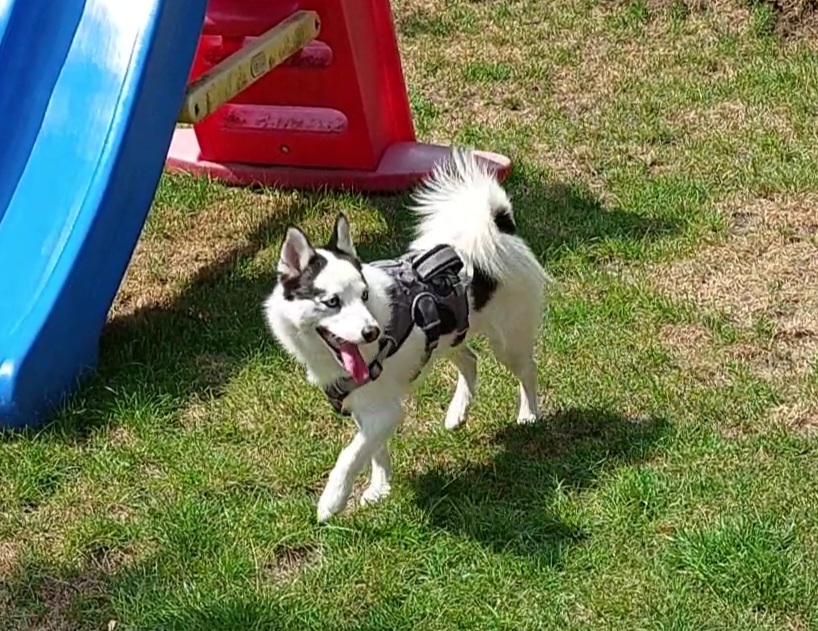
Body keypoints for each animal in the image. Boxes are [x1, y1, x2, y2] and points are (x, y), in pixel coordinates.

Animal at [263, 148, 549, 522]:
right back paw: (457, 412)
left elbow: (350, 455)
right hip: (449, 334)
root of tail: (500, 229)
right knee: (470, 359)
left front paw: (332, 501)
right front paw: (380, 488)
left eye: (364, 295)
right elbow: (374, 450)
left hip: (508, 339)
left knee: (526, 370)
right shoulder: (369, 409)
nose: (371, 332)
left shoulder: (384, 411)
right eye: (332, 302)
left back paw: (528, 414)